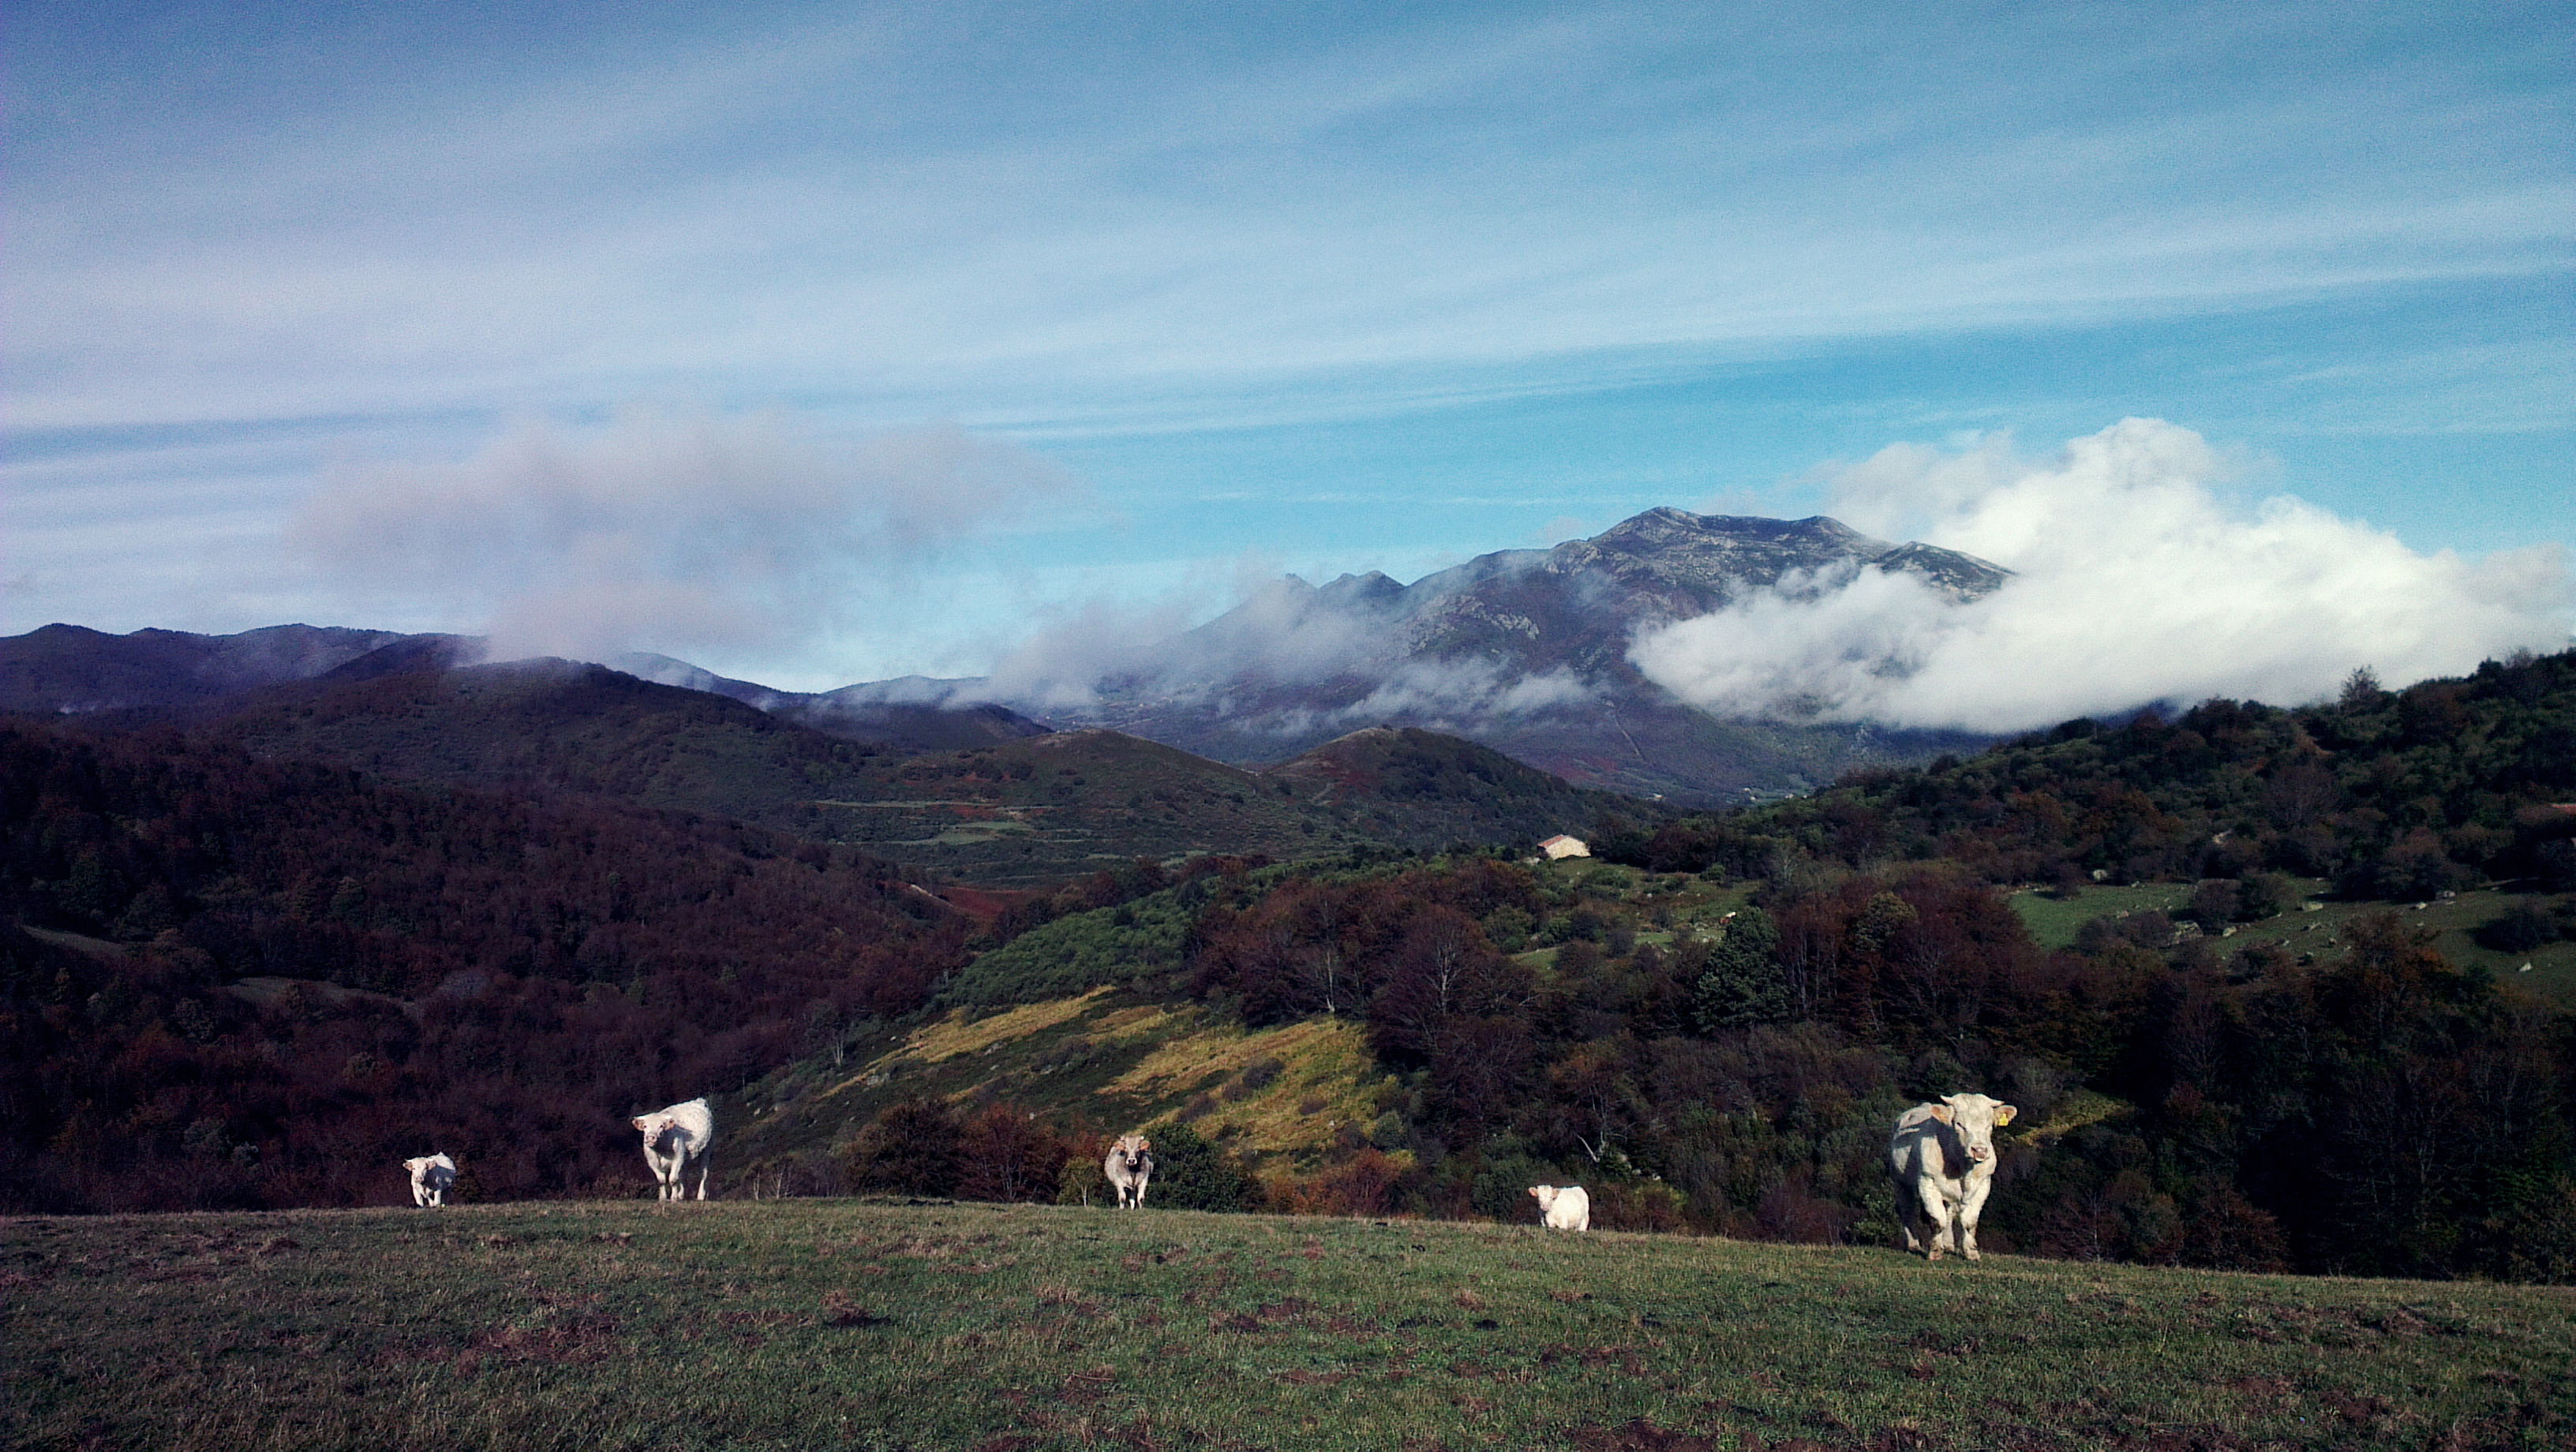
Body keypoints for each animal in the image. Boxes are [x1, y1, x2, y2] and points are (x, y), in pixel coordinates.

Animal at [638, 1102, 721, 1204]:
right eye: (645, 1126)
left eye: (661, 1126)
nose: (650, 1137)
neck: (660, 1149)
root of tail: (698, 1101)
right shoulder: (652, 1161)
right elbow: (661, 1180)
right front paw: (663, 1198)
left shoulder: (677, 1158)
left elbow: (673, 1179)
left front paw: (674, 1198)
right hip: (686, 1157)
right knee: (683, 1175)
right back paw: (681, 1195)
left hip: (707, 1150)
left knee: (703, 1174)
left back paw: (700, 1196)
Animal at [1885, 1091, 2019, 1261]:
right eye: (1960, 1124)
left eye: (1989, 1125)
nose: (1979, 1150)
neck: (1962, 1167)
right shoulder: (1927, 1181)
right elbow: (1937, 1220)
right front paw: (1935, 1252)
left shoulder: (1984, 1183)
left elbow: (1969, 1221)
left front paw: (1971, 1252)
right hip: (1900, 1181)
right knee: (1907, 1210)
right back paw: (1913, 1245)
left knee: (1948, 1214)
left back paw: (1948, 1245)